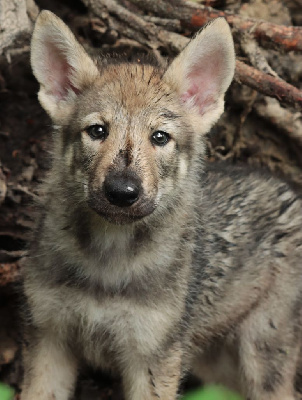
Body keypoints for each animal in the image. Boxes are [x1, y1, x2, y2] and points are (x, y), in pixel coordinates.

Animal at [22, 9, 302, 400]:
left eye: (159, 137)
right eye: (97, 131)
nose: (122, 192)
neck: (108, 262)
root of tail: (289, 191)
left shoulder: (152, 360)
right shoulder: (50, 338)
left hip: (262, 359)